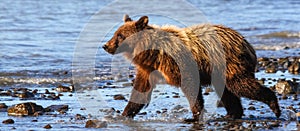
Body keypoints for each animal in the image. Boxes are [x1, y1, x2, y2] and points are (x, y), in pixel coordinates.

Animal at [103, 14, 282, 122]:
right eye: (116, 33)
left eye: (120, 35)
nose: (106, 45)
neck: (152, 52)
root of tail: (247, 43)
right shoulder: (148, 70)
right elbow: (140, 91)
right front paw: (124, 114)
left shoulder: (180, 63)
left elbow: (191, 86)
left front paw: (194, 116)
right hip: (220, 71)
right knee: (227, 91)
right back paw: (231, 114)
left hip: (229, 63)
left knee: (240, 85)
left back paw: (274, 106)